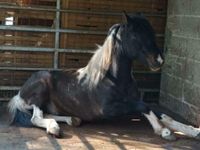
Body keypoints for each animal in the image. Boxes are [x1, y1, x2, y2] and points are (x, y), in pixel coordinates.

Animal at [7, 13, 200, 140]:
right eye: (135, 34)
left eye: (151, 32)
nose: (159, 60)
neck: (112, 79)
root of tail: (20, 93)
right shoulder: (107, 109)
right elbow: (144, 107)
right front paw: (164, 131)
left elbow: (162, 114)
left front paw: (192, 131)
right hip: (40, 90)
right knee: (36, 118)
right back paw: (54, 128)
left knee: (47, 114)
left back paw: (72, 119)